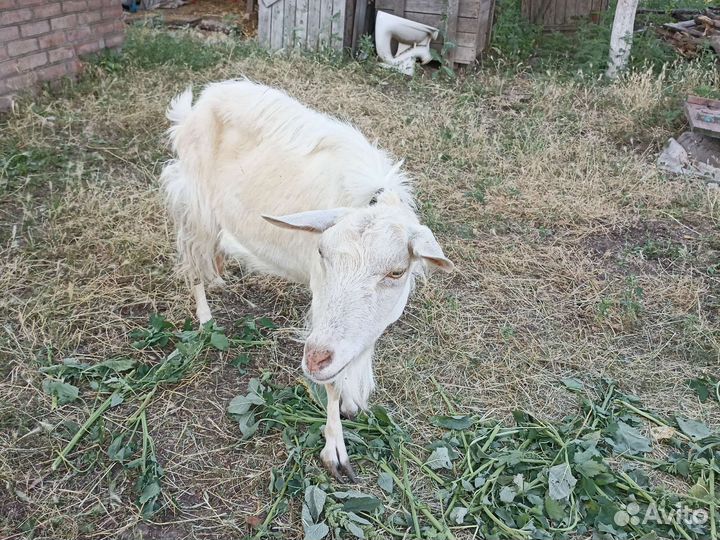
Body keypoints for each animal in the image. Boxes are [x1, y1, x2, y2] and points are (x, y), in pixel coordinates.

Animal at [160, 80, 453, 480]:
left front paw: (354, 397)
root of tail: (199, 103)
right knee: (192, 261)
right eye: (322, 252)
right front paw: (335, 450)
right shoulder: (320, 306)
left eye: (397, 272)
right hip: (193, 204)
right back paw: (206, 319)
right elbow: (330, 385)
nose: (315, 359)